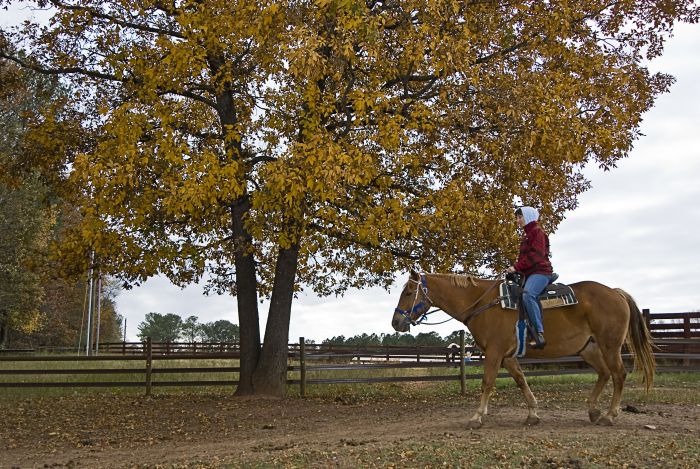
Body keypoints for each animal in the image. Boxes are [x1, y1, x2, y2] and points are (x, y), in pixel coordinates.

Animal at [392, 266, 652, 428]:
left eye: (408, 292)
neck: (483, 303)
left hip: (610, 346)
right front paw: (533, 414)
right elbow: (521, 380)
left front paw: (477, 417)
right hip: (588, 348)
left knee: (618, 375)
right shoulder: (507, 356)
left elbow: (487, 383)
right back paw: (593, 410)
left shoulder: (494, 352)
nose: (396, 322)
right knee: (605, 373)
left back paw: (609, 415)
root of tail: (616, 293)